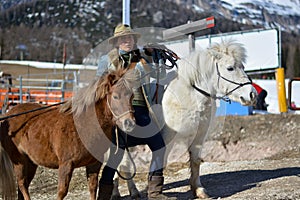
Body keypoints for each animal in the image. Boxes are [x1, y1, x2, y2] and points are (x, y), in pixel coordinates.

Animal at [0, 68, 136, 199]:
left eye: (132, 96)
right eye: (116, 96)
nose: (129, 123)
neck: (84, 125)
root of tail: (6, 116)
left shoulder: (94, 164)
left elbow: (93, 188)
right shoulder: (66, 164)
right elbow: (62, 192)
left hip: (31, 162)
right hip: (19, 160)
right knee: (22, 184)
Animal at [111, 39, 256, 199]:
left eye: (242, 67)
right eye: (230, 68)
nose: (252, 95)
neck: (189, 94)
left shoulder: (199, 136)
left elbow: (196, 161)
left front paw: (199, 190)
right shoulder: (167, 138)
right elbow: (160, 162)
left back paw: (132, 192)